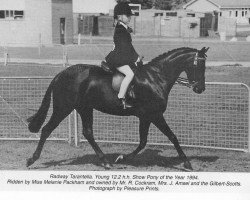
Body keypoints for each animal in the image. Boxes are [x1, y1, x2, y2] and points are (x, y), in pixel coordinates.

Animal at [26, 47, 208, 170]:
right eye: (200, 65)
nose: (200, 89)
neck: (155, 78)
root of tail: (61, 74)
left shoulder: (146, 117)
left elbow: (143, 142)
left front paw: (122, 158)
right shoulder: (155, 115)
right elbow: (172, 137)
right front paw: (187, 163)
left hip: (85, 108)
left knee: (88, 132)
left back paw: (105, 161)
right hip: (63, 108)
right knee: (47, 129)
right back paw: (32, 159)